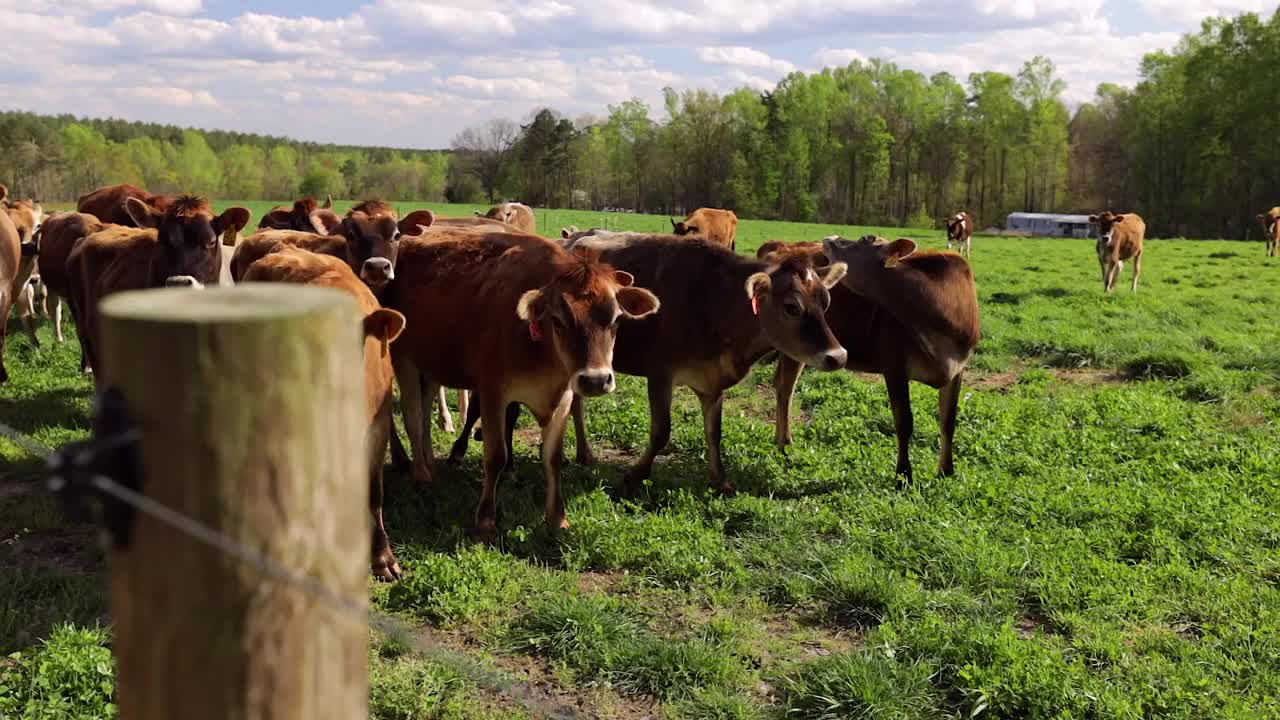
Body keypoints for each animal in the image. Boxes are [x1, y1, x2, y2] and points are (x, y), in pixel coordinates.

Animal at [386, 229, 660, 538]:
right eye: (558, 320)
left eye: (615, 320)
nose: (595, 379)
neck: (542, 353)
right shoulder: (492, 392)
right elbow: (496, 455)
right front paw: (485, 521)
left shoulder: (563, 398)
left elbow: (552, 458)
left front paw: (557, 518)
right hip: (404, 358)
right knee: (412, 415)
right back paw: (421, 474)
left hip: (432, 364)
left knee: (424, 412)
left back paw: (431, 463)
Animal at [757, 238, 977, 484]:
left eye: (865, 238)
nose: (830, 239)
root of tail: (783, 245)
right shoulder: (894, 365)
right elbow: (904, 421)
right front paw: (903, 476)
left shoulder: (958, 369)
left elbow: (949, 420)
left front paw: (946, 471)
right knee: (785, 386)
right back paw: (784, 444)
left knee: (782, 384)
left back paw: (781, 442)